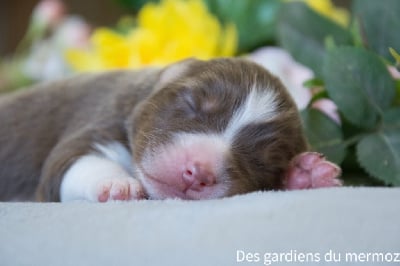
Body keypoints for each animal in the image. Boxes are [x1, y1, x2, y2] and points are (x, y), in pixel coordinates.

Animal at [0, 56, 340, 202]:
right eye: (191, 104)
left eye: (263, 162)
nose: (197, 172)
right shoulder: (99, 121)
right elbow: (74, 162)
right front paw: (117, 183)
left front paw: (305, 174)